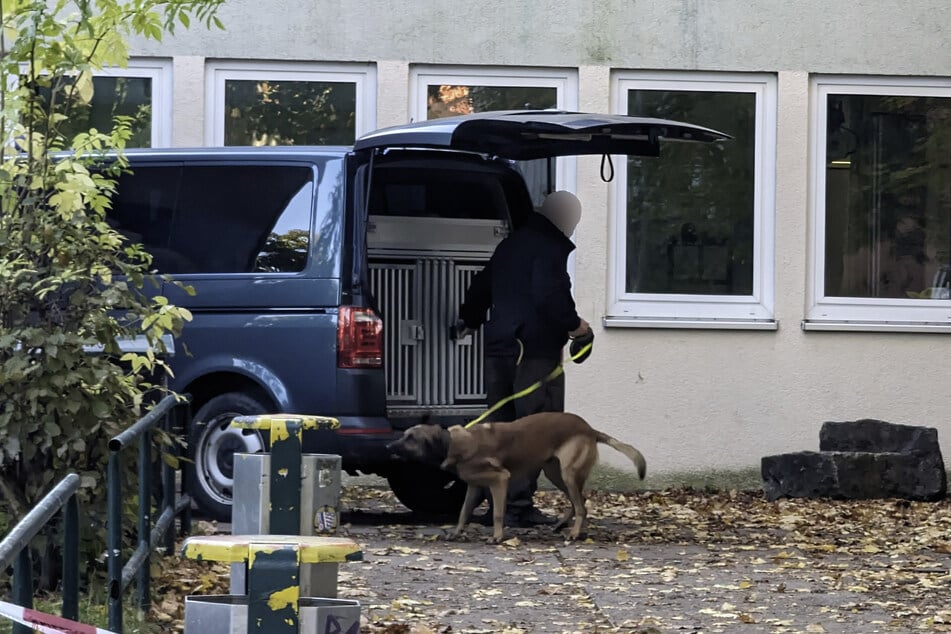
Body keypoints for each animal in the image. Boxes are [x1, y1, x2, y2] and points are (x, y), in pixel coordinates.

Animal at [386, 412, 648, 540]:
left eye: (410, 438)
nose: (388, 447)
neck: (452, 443)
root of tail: (590, 429)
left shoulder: (500, 480)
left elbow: (498, 514)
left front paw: (497, 537)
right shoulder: (474, 487)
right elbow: (463, 512)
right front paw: (456, 532)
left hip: (568, 474)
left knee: (582, 506)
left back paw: (574, 533)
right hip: (556, 473)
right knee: (578, 502)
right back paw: (564, 526)